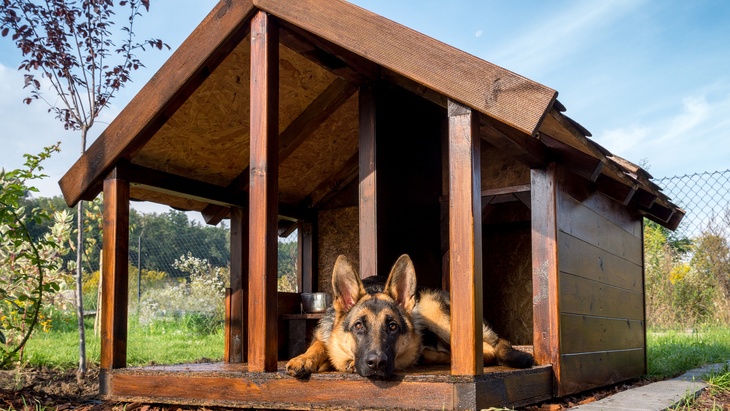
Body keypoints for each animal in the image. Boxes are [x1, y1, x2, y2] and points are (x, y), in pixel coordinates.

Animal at [286, 254, 536, 380]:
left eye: (393, 327)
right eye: (358, 326)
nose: (377, 363)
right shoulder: (325, 338)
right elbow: (319, 346)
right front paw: (303, 359)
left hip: (429, 307)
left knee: (487, 350)